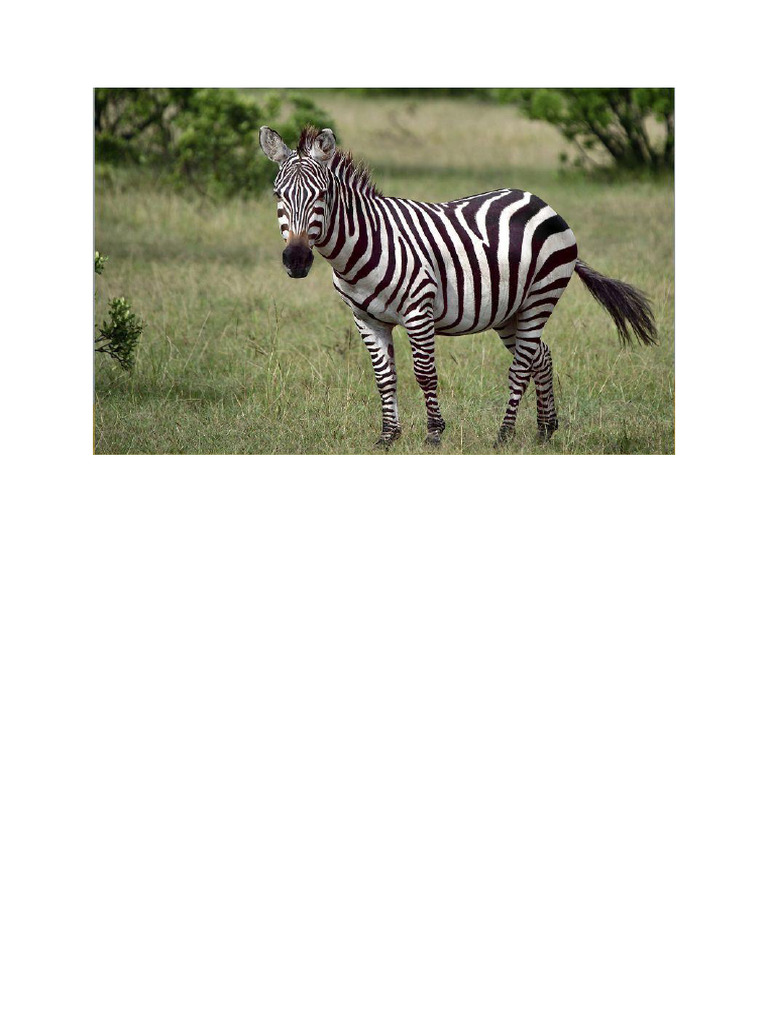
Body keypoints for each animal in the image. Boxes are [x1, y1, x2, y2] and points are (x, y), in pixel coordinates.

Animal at [259, 124, 657, 448]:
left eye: (322, 195)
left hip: (540, 297)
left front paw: (434, 434)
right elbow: (384, 378)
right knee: (540, 356)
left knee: (521, 366)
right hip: (509, 310)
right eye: (277, 196)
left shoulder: (419, 310)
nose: (296, 259)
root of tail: (541, 201)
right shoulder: (365, 318)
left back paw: (504, 435)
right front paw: (388, 436)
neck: (364, 245)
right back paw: (545, 430)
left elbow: (424, 374)